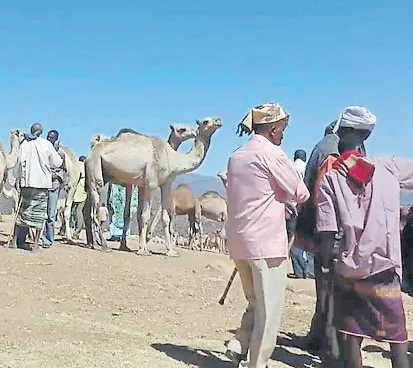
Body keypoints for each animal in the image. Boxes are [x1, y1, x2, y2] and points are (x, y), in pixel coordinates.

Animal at [83, 118, 222, 256]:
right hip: (96, 168)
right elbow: (145, 216)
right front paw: (143, 250)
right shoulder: (150, 184)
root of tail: (91, 152)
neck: (172, 158)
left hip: (101, 175)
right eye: (205, 121)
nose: (218, 121)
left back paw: (93, 243)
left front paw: (170, 251)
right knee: (95, 210)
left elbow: (164, 218)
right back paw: (104, 246)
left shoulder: (165, 184)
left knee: (87, 209)